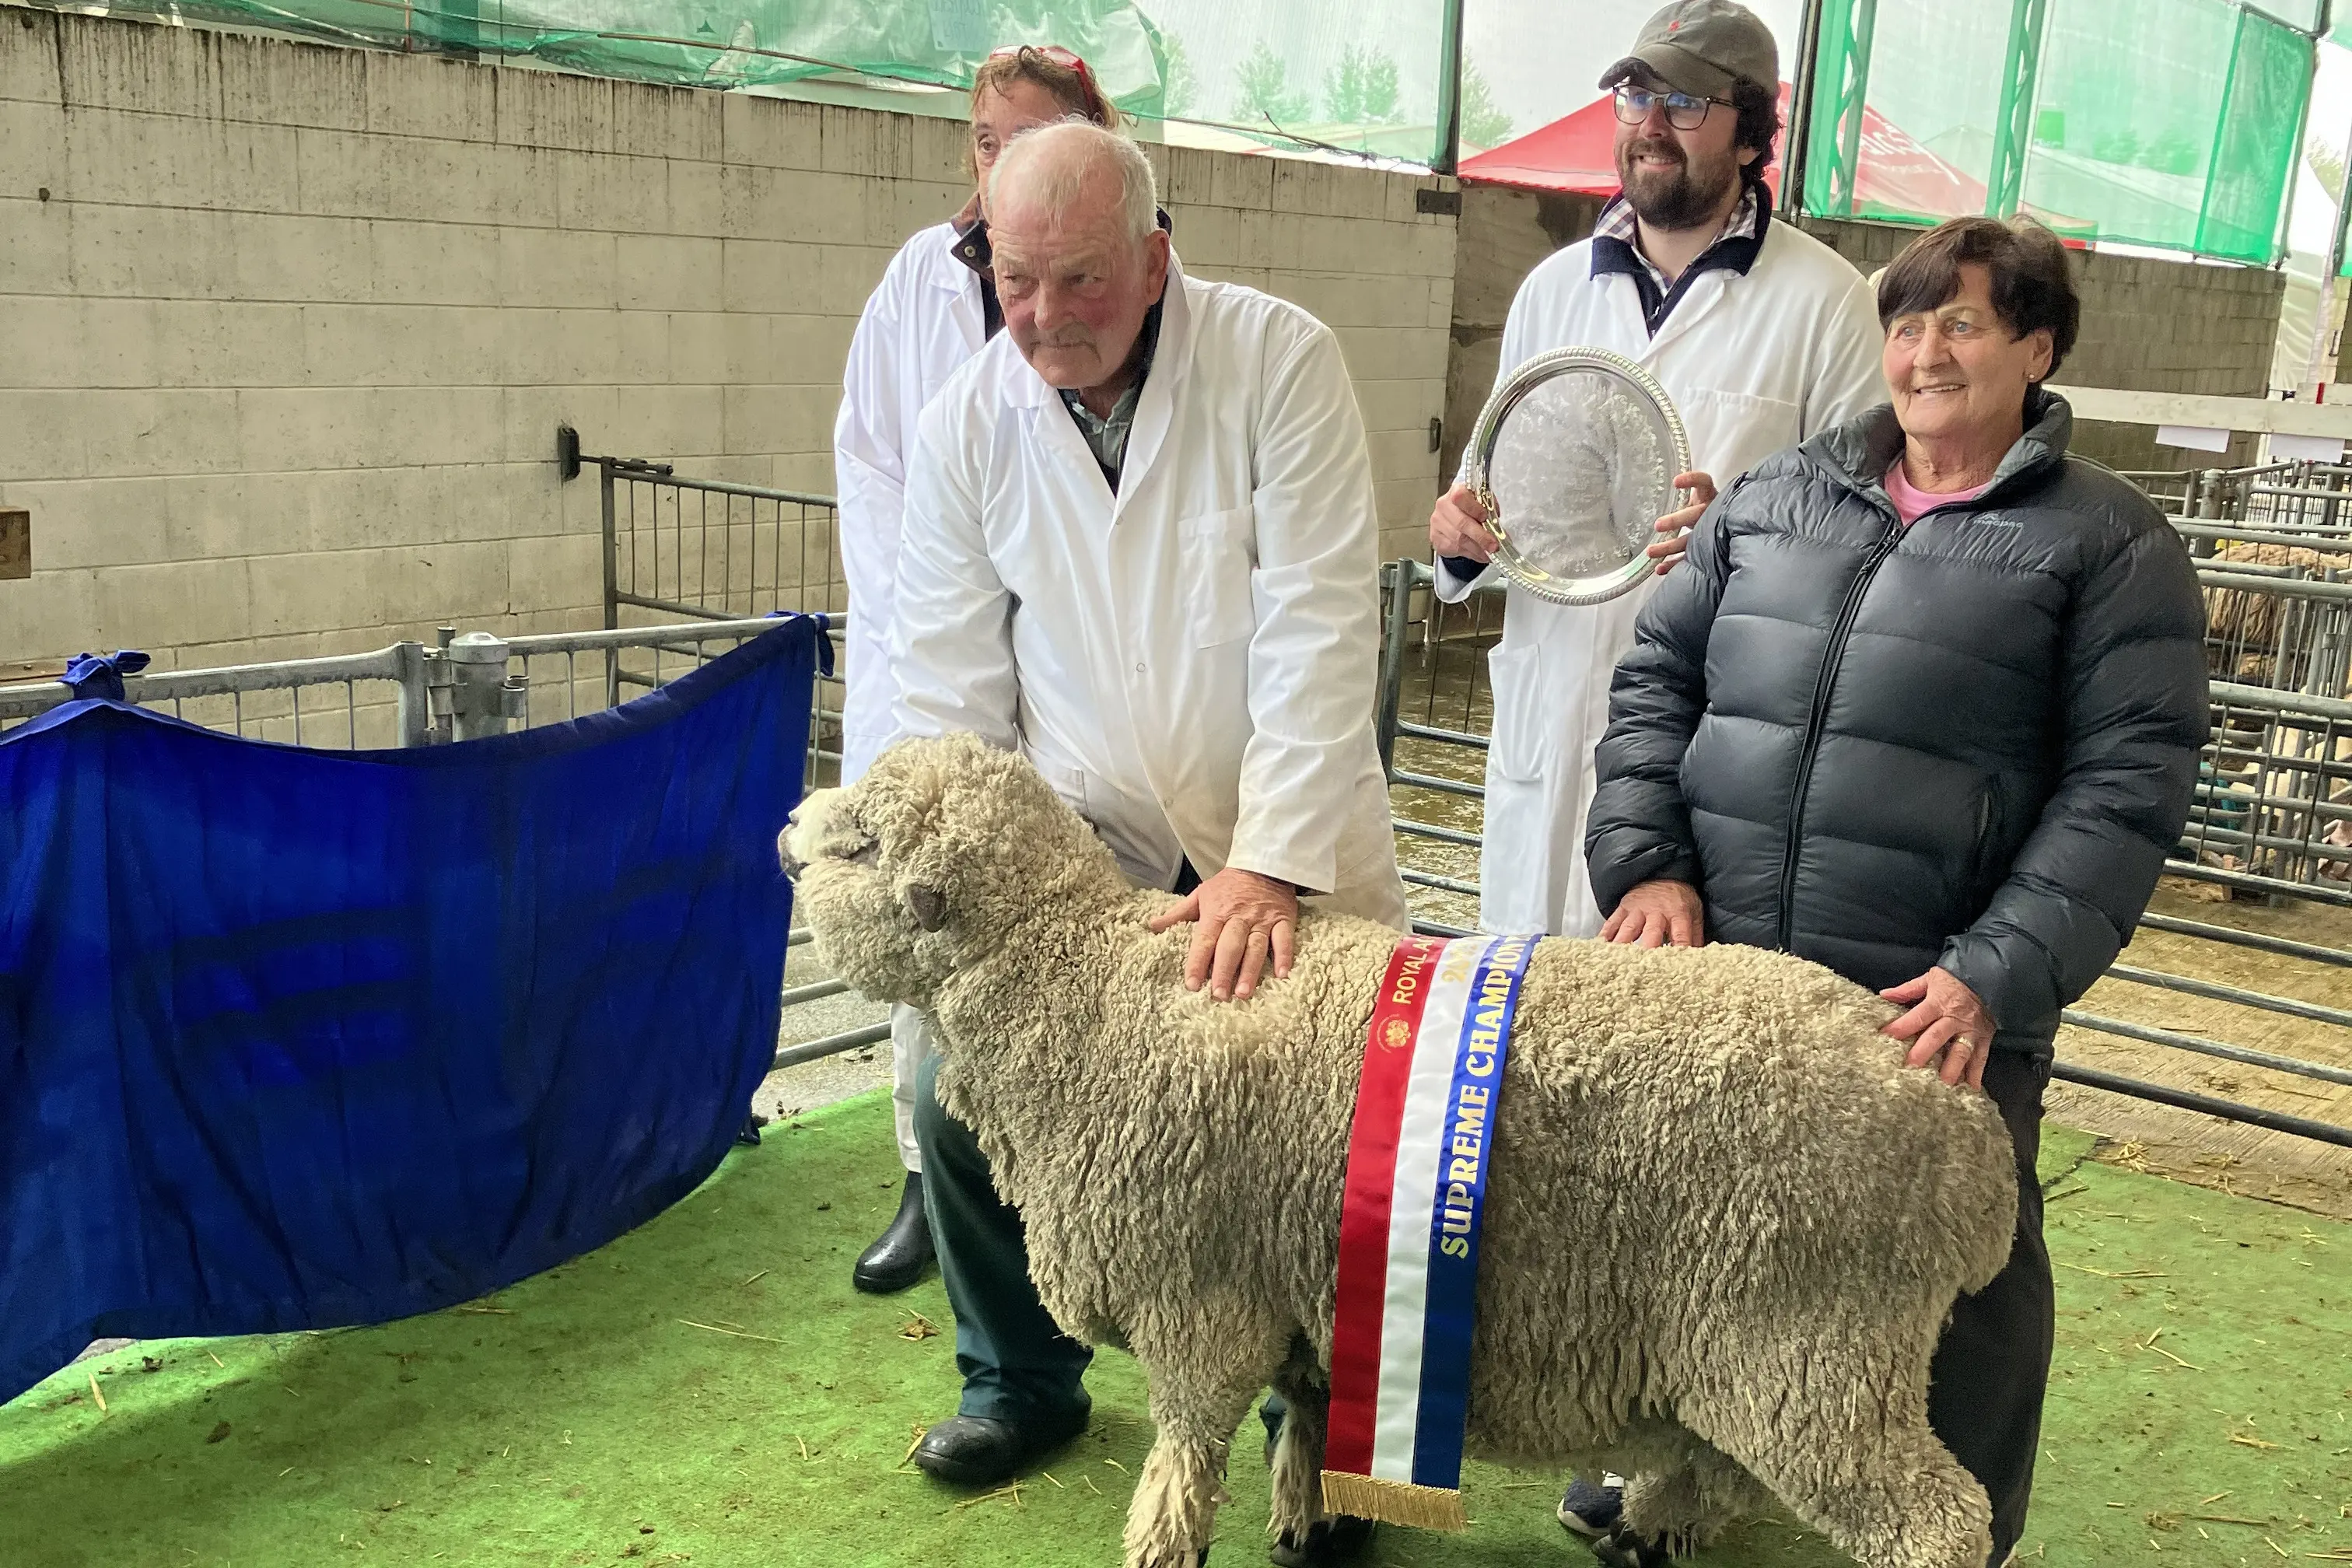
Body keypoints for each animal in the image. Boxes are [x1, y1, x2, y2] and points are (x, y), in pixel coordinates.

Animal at [779, 733, 2022, 1568]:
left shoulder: (1198, 1305)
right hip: (1775, 1351)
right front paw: (1307, 1519)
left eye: (863, 843)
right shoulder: (1312, 1286)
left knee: (1936, 1522)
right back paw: (1649, 1532)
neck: (1079, 981)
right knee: (1718, 1472)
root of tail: (1972, 1140)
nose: (789, 830)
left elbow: (1184, 1455)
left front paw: (1163, 1545)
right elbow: (1307, 1420)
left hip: (1814, 1344)